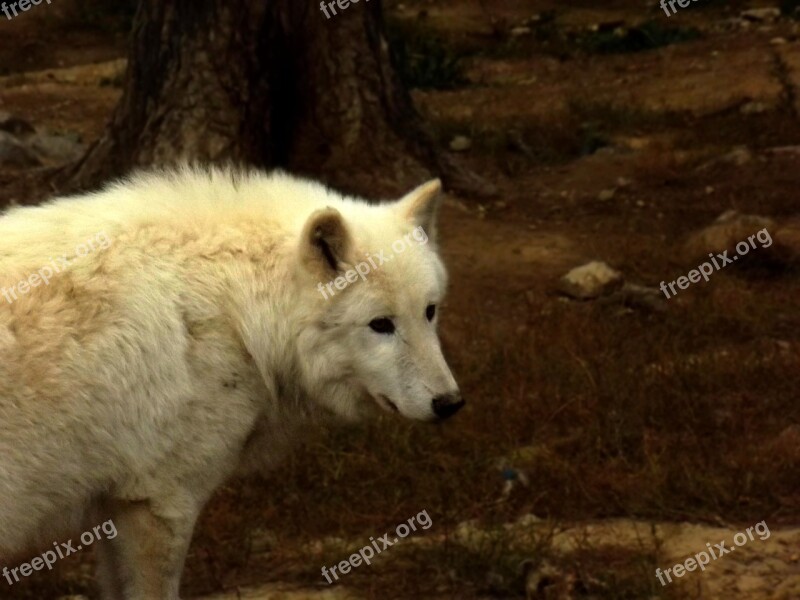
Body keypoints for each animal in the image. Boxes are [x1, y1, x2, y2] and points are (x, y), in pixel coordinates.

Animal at [0, 168, 462, 600]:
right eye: (380, 325)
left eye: (430, 311)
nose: (450, 403)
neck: (237, 314)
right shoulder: (160, 502)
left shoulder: (118, 504)